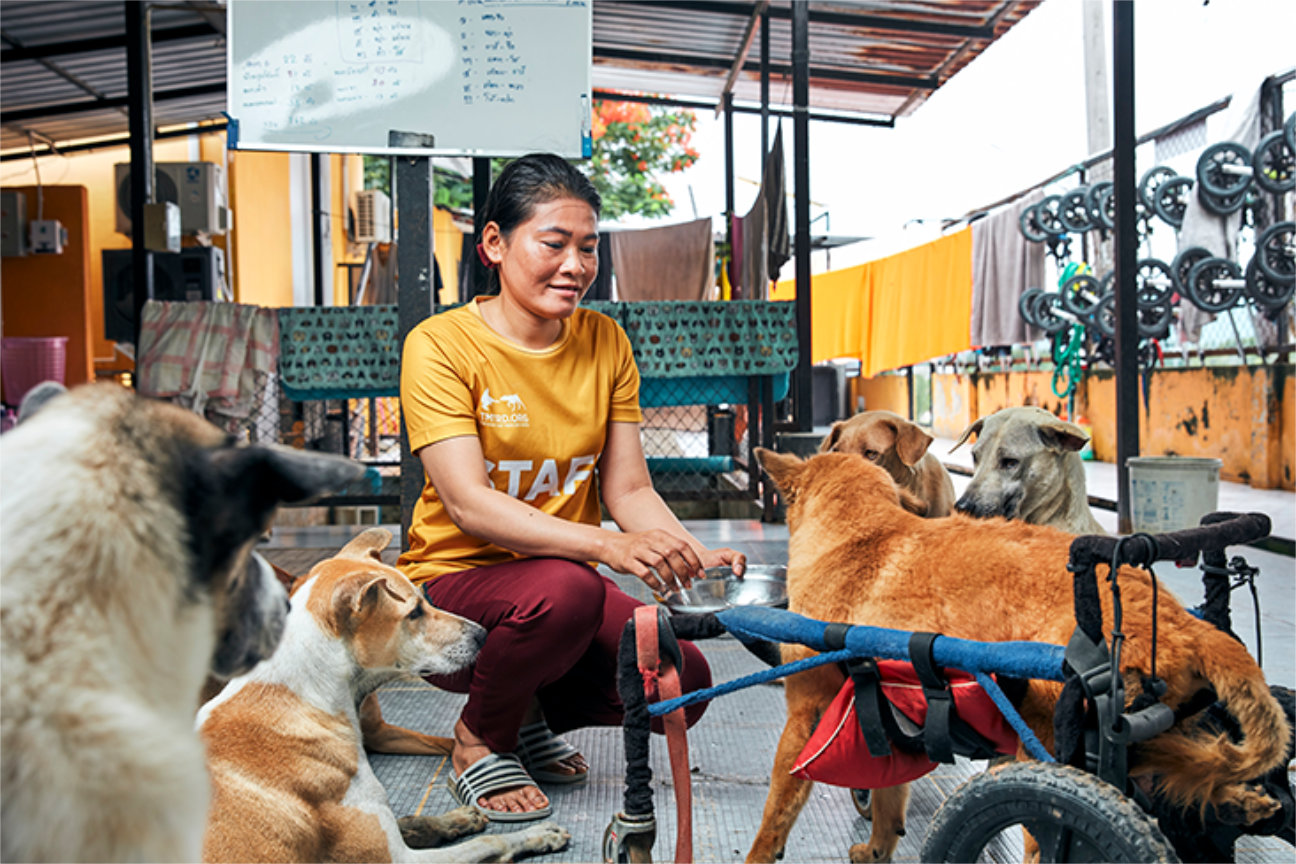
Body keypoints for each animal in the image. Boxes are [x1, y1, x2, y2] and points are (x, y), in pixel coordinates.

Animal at [198, 528, 572, 864]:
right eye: (414, 612)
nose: (483, 634)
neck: (307, 695)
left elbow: (409, 821)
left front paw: (454, 819)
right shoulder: (397, 858)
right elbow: (489, 842)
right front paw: (537, 834)